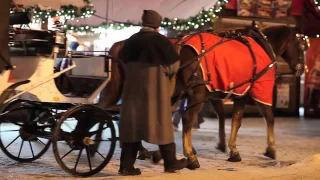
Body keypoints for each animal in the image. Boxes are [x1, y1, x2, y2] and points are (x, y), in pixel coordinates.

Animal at [172, 23, 310, 169]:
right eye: (302, 46)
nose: (302, 69)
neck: (263, 44)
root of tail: (182, 45)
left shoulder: (223, 93)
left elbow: (226, 117)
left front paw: (225, 145)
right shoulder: (257, 92)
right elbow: (264, 118)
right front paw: (270, 149)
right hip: (198, 95)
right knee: (187, 118)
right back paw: (191, 157)